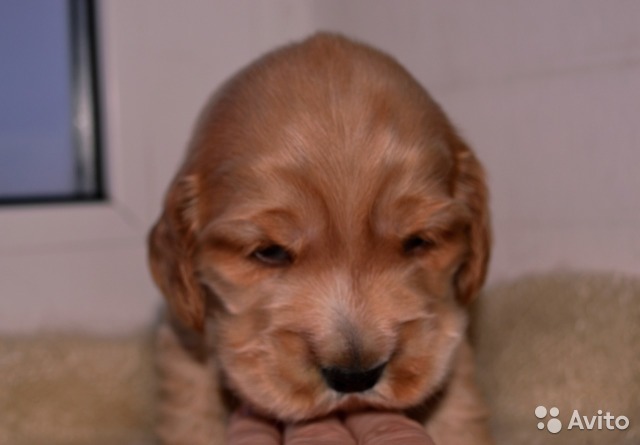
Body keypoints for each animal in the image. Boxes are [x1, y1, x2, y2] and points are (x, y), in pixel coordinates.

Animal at [148, 33, 492, 442]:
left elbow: (457, 414)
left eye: (418, 241)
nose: (355, 375)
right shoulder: (186, 344)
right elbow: (194, 415)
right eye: (270, 252)